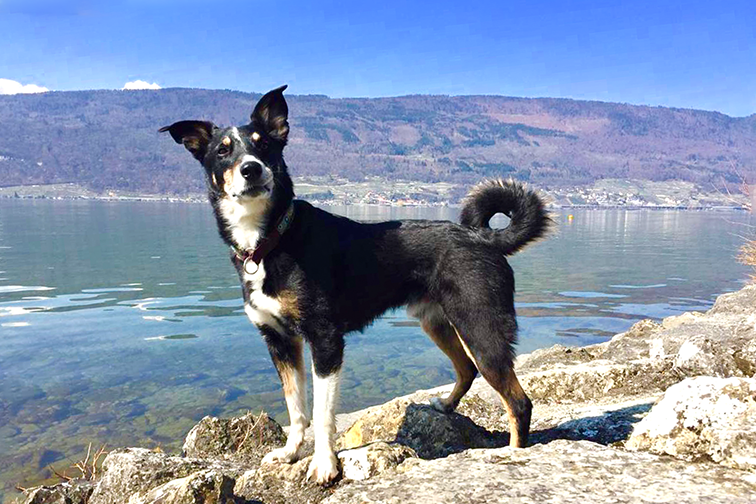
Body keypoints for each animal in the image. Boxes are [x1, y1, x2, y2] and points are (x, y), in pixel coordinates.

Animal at [159, 85, 548, 484]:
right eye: (223, 150)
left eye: (263, 144)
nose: (251, 168)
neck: (270, 241)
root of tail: (483, 238)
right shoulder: (279, 341)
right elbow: (295, 407)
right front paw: (290, 452)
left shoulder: (326, 340)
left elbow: (321, 413)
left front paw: (324, 463)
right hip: (438, 322)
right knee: (467, 370)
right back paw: (446, 405)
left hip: (480, 327)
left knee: (518, 402)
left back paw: (514, 455)